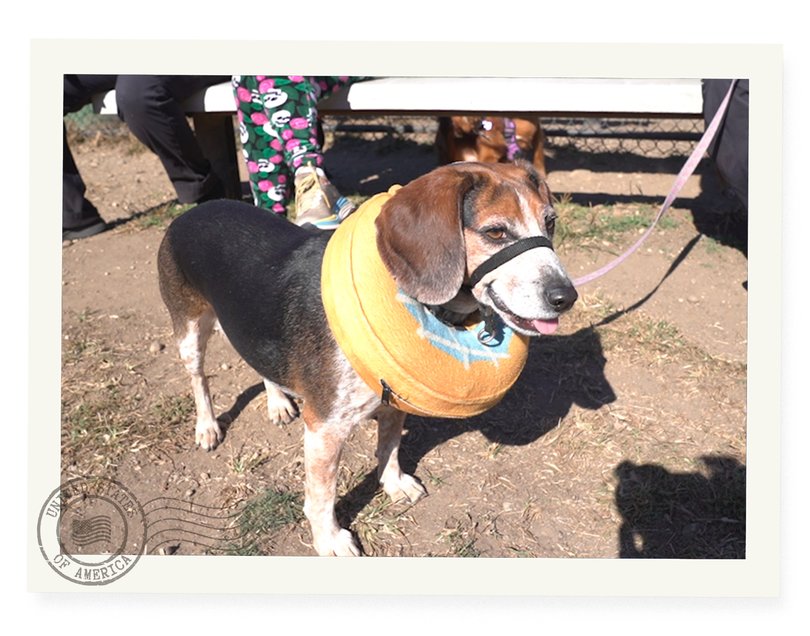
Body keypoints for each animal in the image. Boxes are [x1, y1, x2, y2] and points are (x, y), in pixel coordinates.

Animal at [158, 160, 576, 556]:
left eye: (550, 223)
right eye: (495, 232)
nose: (566, 297)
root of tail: (197, 209)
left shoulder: (393, 403)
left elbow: (389, 450)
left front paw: (394, 484)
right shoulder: (324, 429)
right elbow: (322, 495)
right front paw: (330, 540)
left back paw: (277, 402)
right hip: (190, 333)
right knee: (199, 379)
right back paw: (207, 427)